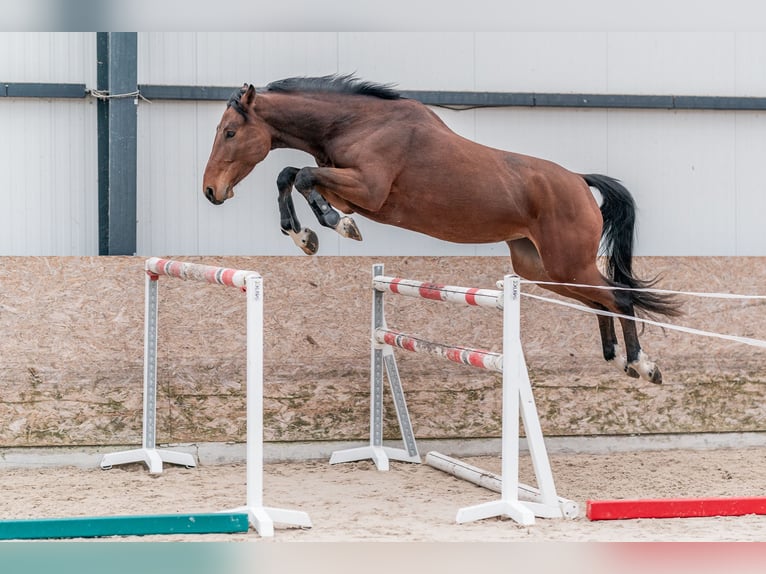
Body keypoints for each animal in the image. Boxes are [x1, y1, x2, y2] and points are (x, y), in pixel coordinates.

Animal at [206, 74, 684, 384]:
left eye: (229, 132)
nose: (211, 191)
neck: (356, 123)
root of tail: (580, 182)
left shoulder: (367, 189)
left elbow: (301, 176)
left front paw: (334, 228)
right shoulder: (350, 189)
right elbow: (290, 174)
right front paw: (304, 236)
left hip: (565, 264)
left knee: (617, 296)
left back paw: (643, 365)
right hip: (542, 269)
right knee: (600, 297)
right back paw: (616, 358)